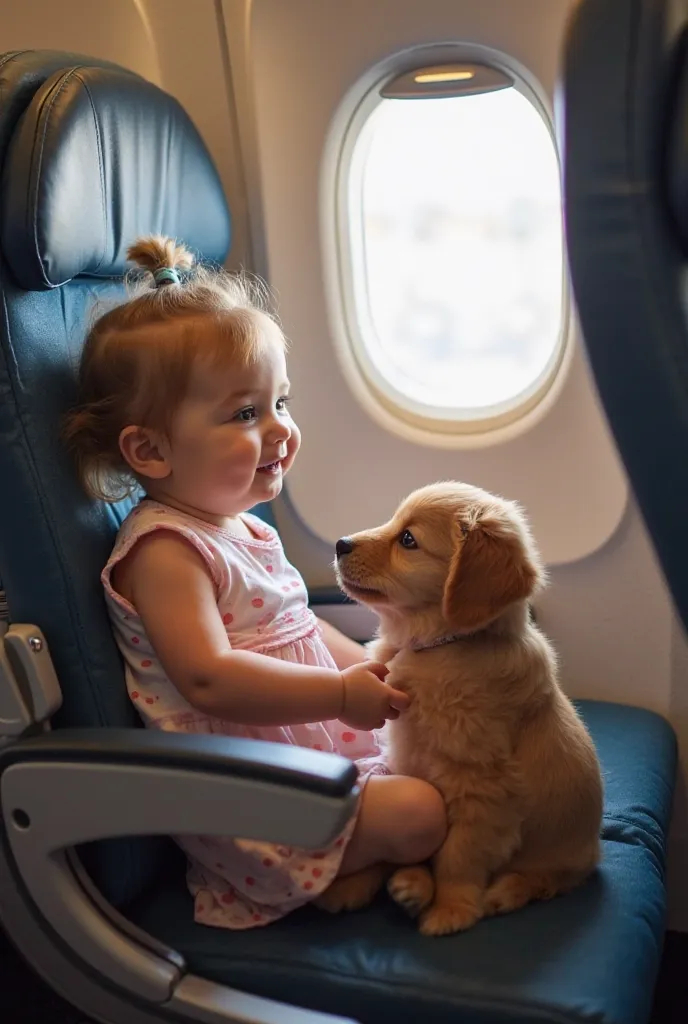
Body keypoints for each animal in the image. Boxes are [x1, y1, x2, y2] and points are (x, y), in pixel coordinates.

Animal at [323, 479, 602, 937]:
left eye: (408, 540)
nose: (340, 543)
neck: (439, 646)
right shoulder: (409, 762)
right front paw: (359, 884)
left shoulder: (483, 792)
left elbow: (458, 854)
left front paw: (451, 910)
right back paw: (410, 883)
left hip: (570, 857)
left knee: (551, 879)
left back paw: (506, 892)